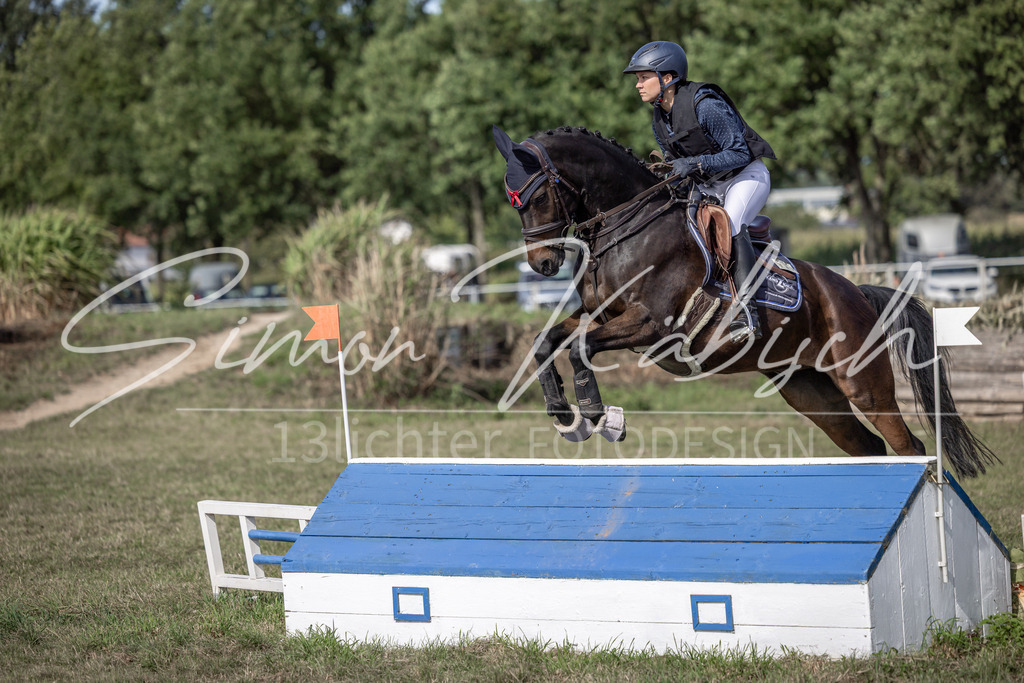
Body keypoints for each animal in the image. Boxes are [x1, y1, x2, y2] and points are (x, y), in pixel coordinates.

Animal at [492, 124, 997, 478]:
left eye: (536, 198)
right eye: (513, 202)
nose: (542, 263)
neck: (629, 226)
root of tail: (858, 293)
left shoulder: (651, 325)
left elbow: (581, 348)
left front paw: (598, 415)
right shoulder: (598, 314)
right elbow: (546, 340)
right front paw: (563, 415)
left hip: (864, 384)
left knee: (909, 447)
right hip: (809, 391)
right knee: (868, 447)